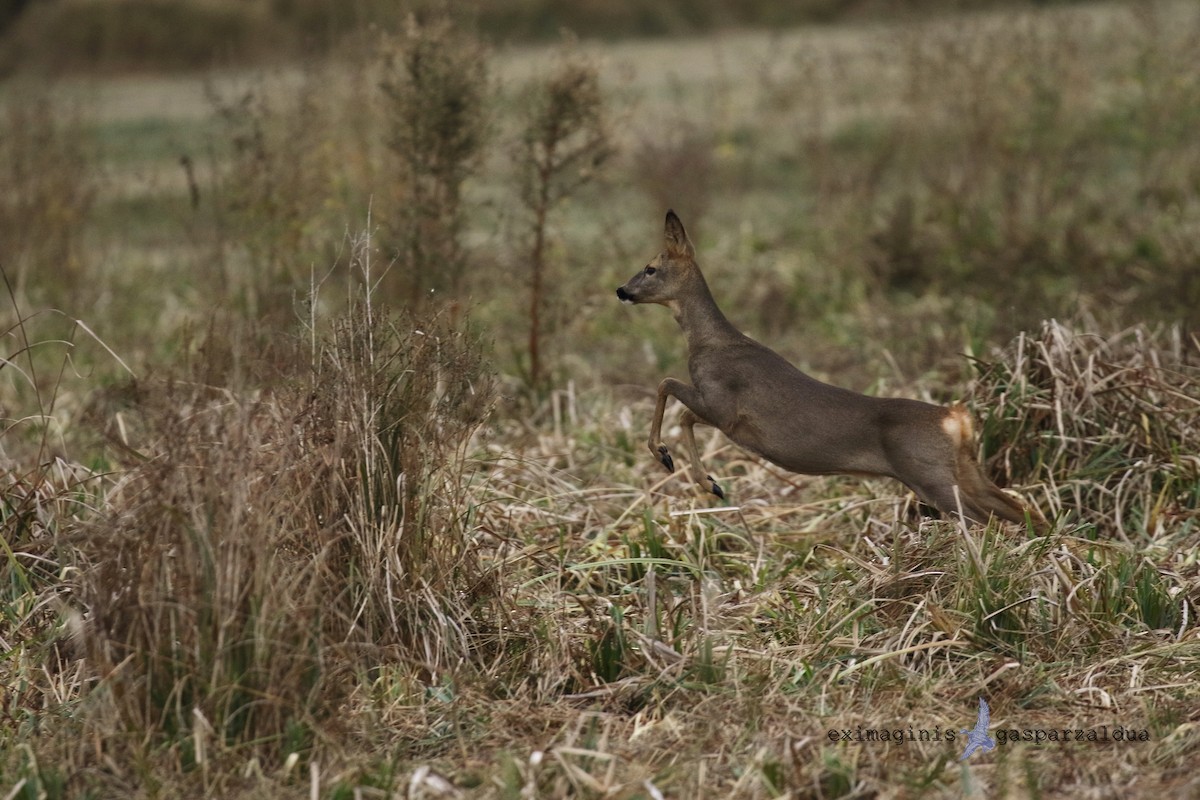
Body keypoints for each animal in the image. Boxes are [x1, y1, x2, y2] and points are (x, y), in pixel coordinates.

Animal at [615, 210, 1047, 532]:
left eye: (650, 268)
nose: (621, 290)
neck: (709, 342)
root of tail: (956, 418)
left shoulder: (723, 404)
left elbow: (668, 388)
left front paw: (680, 465)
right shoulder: (724, 414)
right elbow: (679, 405)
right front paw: (705, 480)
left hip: (930, 474)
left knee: (984, 519)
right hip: (965, 469)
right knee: (1020, 510)